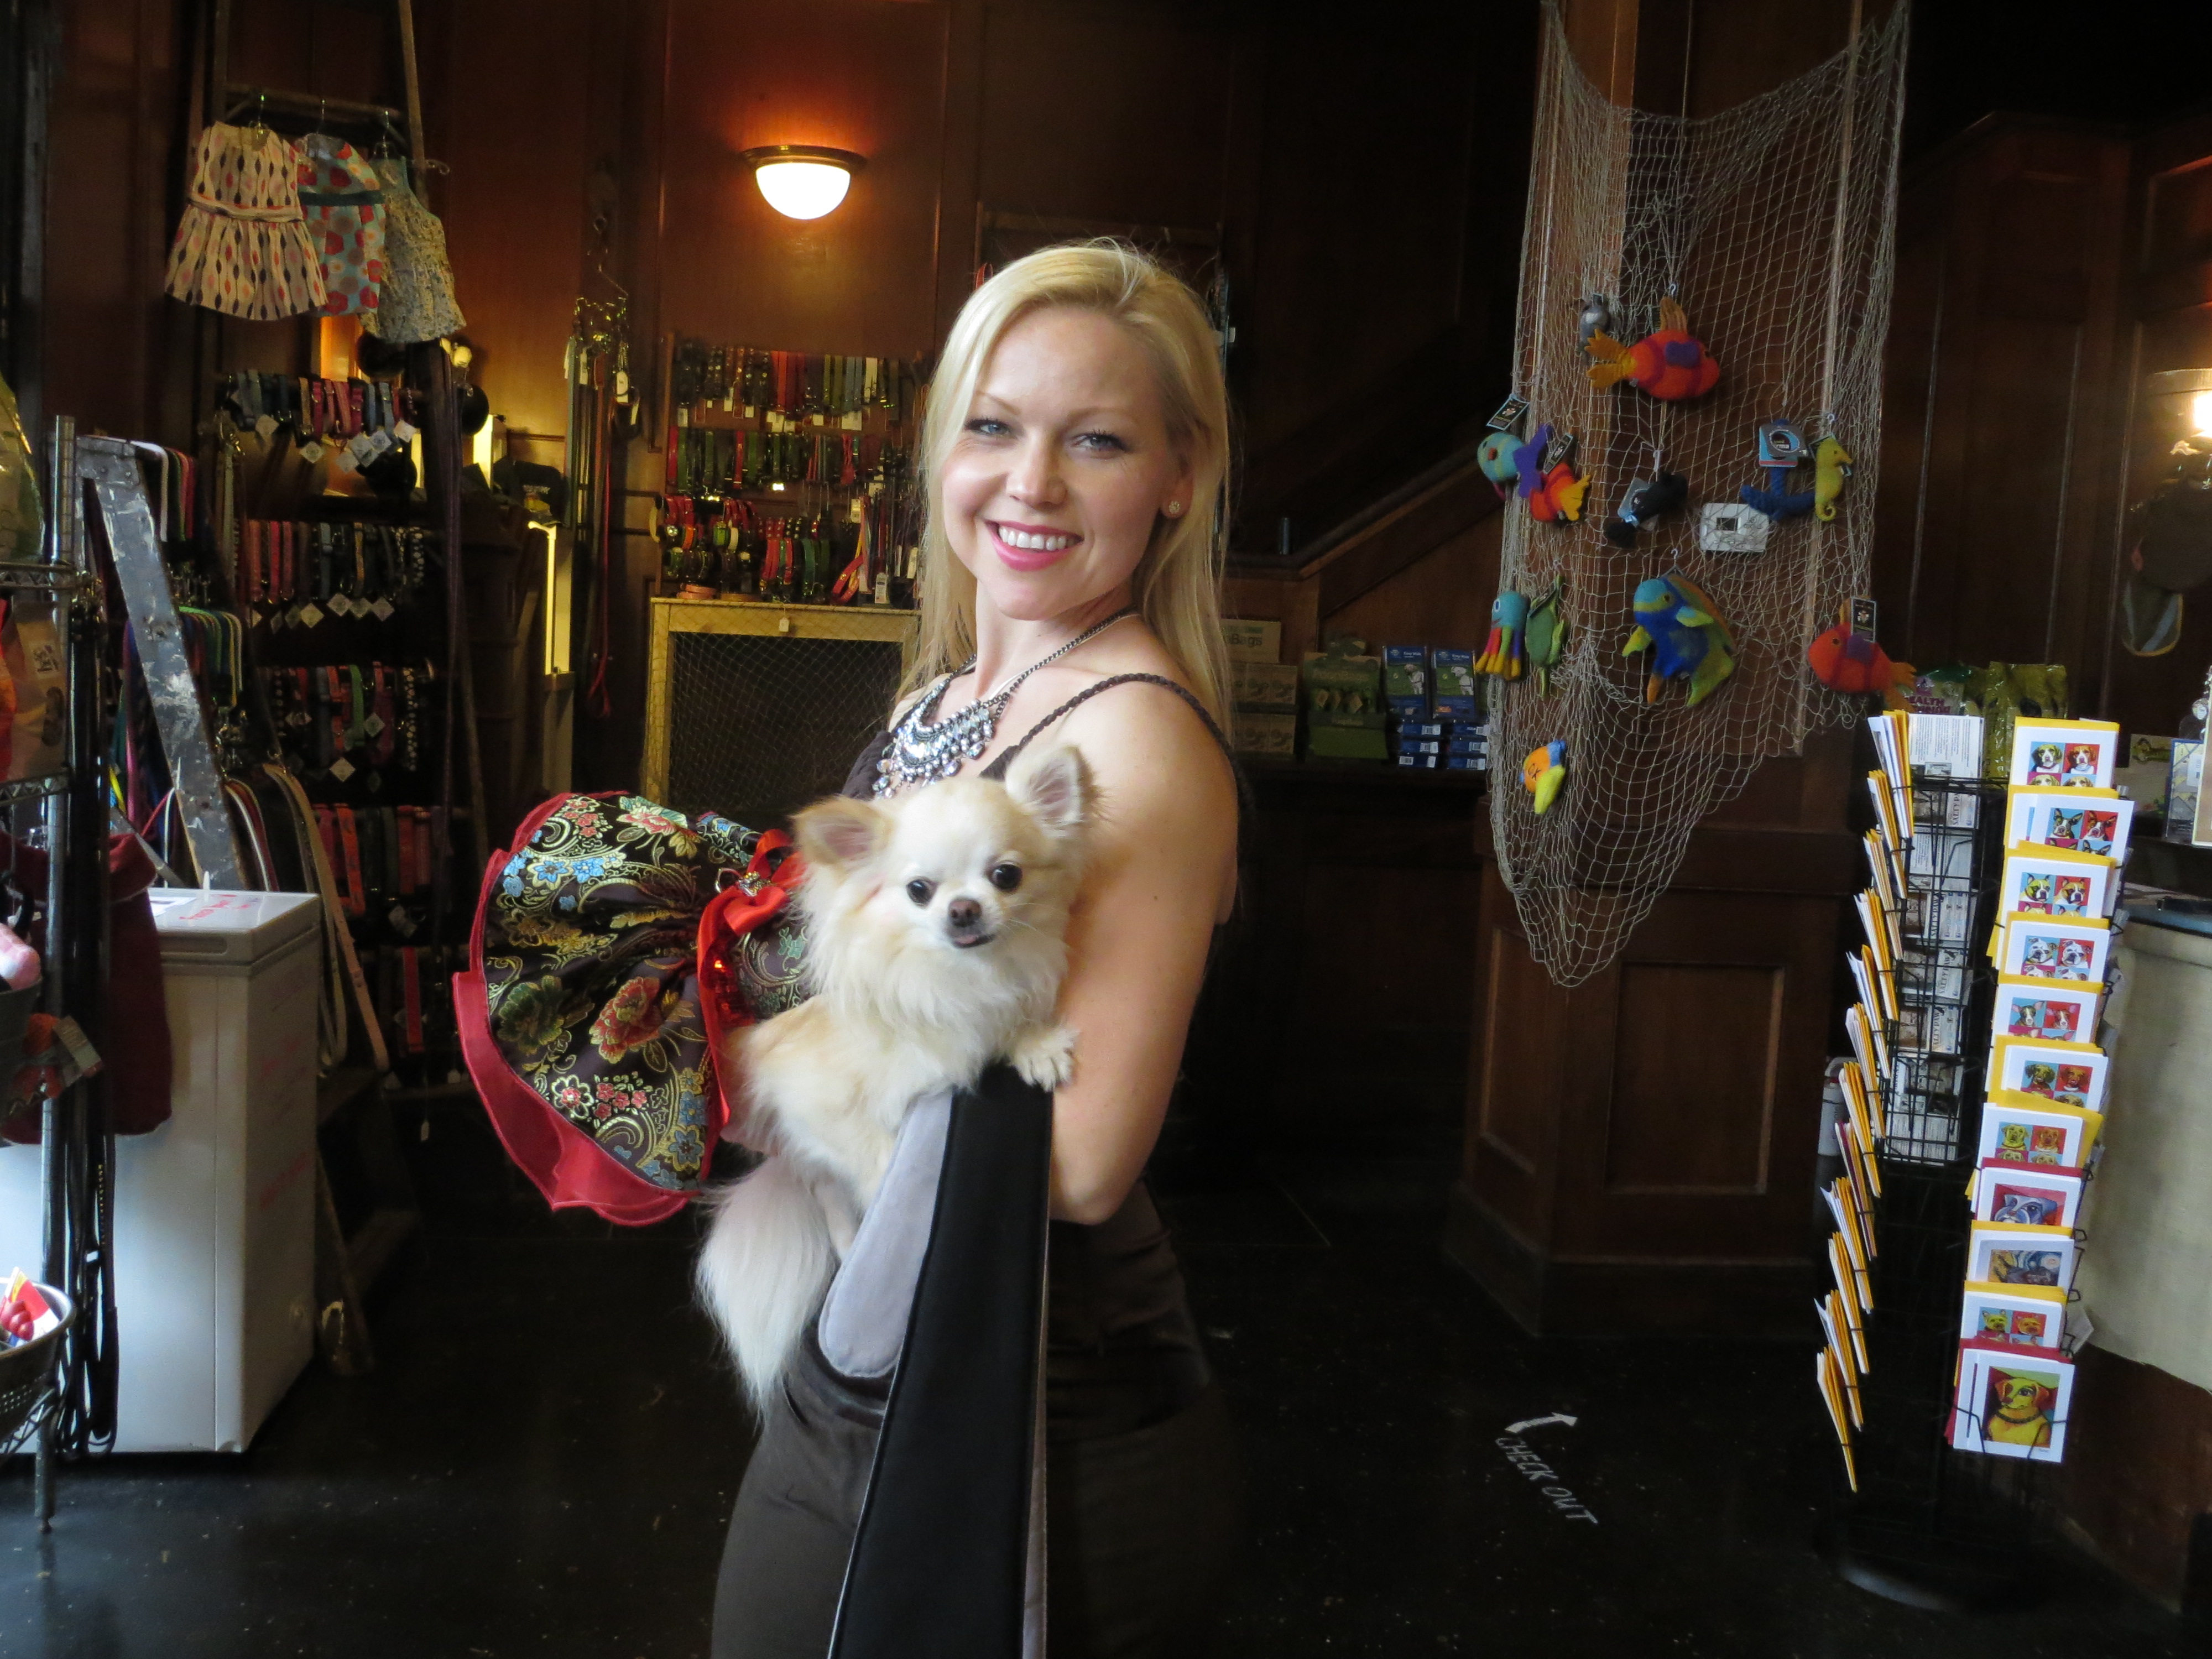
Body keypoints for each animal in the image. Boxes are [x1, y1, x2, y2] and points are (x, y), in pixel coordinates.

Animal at [697, 742, 1093, 1407]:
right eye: (918, 890)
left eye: (1005, 876)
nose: (963, 910)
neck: (954, 979)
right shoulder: (806, 1095)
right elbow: (874, 1153)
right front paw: (889, 1184)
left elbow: (1003, 1019)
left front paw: (1033, 1042)